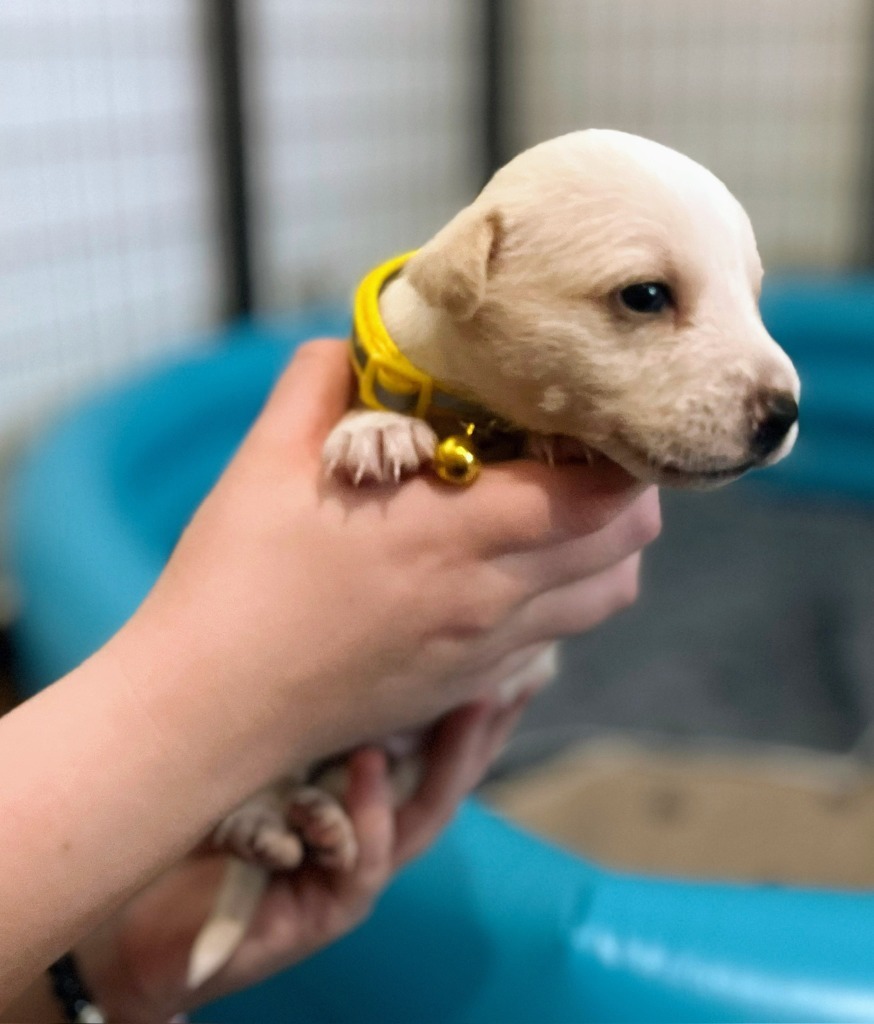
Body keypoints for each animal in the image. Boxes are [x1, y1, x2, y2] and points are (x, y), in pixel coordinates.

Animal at [190, 128, 802, 983]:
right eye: (645, 295)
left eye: (752, 292)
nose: (786, 414)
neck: (473, 413)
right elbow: (364, 411)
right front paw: (376, 430)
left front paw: (555, 442)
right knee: (255, 787)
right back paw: (262, 824)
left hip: (404, 746)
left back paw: (324, 821)